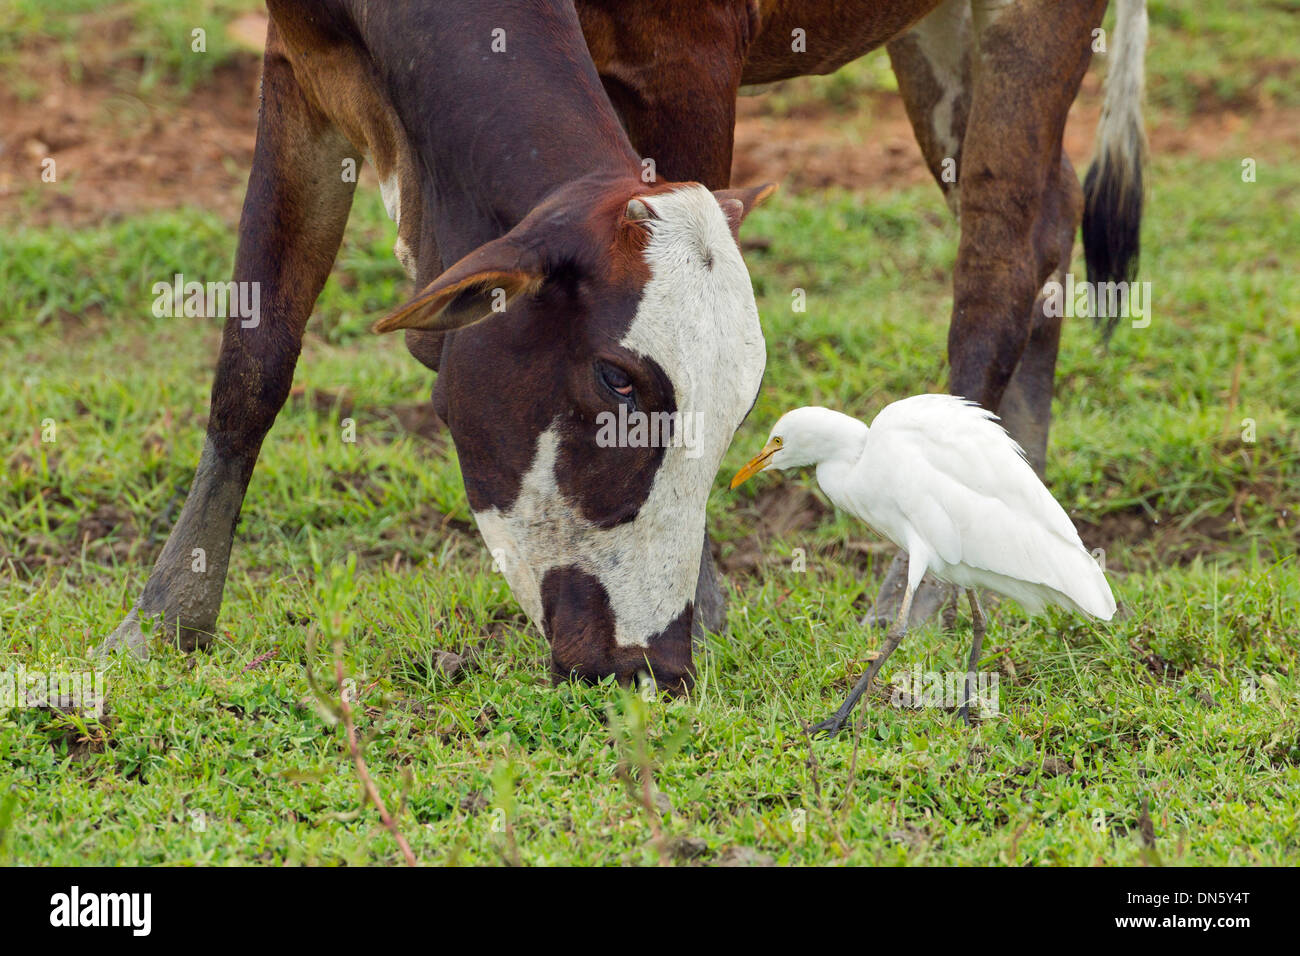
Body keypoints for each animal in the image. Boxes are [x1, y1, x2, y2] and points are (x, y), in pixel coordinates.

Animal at [101, 0, 774, 691]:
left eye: (741, 410)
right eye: (618, 380)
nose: (654, 667)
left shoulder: (692, 61)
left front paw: (708, 613)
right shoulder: (297, 60)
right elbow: (253, 361)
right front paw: (166, 616)